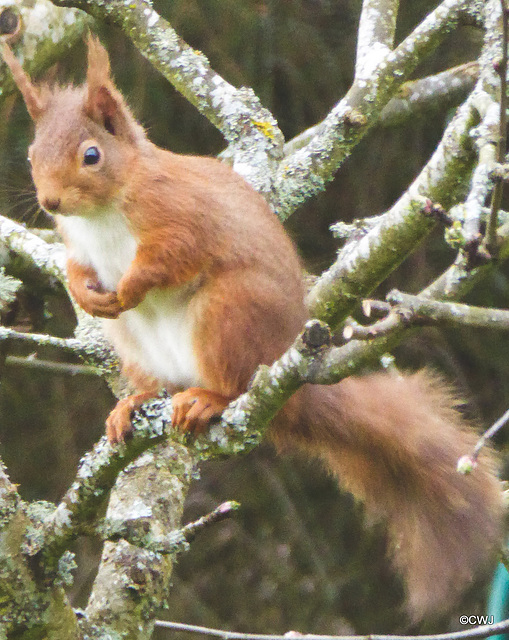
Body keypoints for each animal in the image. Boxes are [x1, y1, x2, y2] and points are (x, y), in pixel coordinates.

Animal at [0, 33, 500, 620]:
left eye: (91, 155)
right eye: (31, 155)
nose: (50, 201)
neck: (102, 214)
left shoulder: (180, 216)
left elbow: (169, 257)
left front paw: (130, 286)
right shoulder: (76, 244)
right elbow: (76, 269)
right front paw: (87, 293)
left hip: (228, 313)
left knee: (233, 383)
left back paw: (207, 400)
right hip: (138, 344)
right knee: (153, 381)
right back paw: (134, 402)